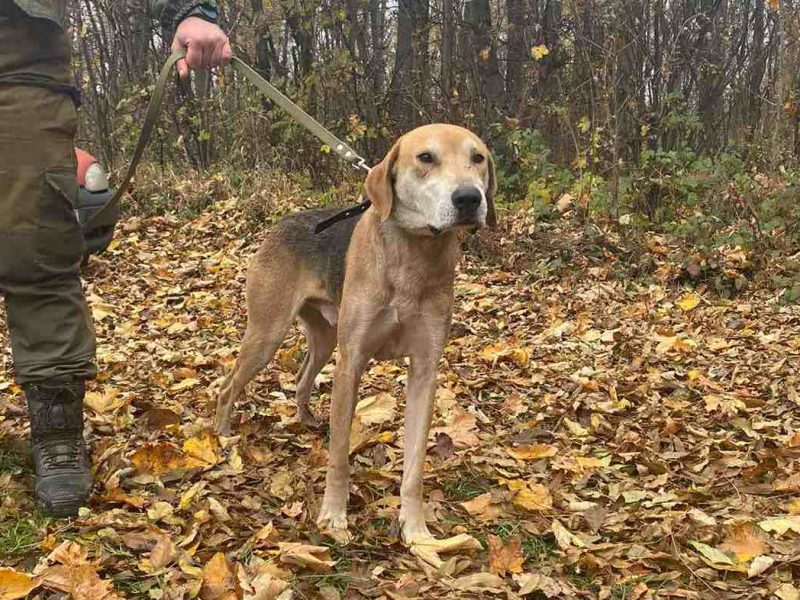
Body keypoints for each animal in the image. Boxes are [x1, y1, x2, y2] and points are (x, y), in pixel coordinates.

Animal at [216, 123, 496, 564]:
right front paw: (334, 517)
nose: (469, 198)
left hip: (325, 338)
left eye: (478, 158)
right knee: (228, 387)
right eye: (426, 158)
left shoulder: (425, 371)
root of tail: (282, 222)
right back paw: (223, 435)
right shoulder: (353, 362)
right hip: (267, 335)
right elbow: (339, 456)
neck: (414, 257)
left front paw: (416, 531)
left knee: (301, 378)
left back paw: (306, 419)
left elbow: (414, 467)